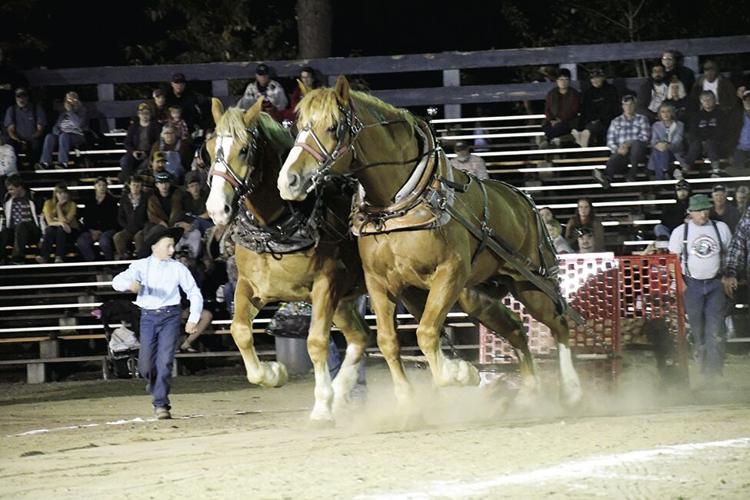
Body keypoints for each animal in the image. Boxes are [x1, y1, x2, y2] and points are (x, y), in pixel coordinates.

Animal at [206, 97, 370, 422]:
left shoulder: (326, 285)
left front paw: (321, 407)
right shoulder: (250, 286)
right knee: (360, 338)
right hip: (344, 300)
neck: (276, 226)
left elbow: (316, 342)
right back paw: (341, 390)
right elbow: (239, 331)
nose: (217, 208)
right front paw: (273, 373)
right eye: (208, 147)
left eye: (244, 149)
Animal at [280, 77, 584, 406]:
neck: (398, 205)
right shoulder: (379, 282)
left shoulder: (449, 273)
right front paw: (409, 402)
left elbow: (426, 333)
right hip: (475, 295)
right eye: (298, 126)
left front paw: (459, 373)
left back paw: (572, 389)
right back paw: (528, 392)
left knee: (559, 324)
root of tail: (524, 201)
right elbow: (388, 341)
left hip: (530, 285)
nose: (289, 180)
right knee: (515, 329)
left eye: (334, 127)